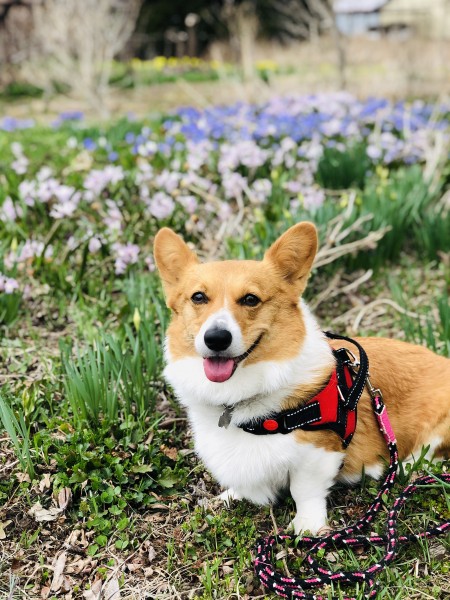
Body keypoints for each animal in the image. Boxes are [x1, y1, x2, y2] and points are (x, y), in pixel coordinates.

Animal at [152, 223, 450, 532]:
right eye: (198, 297)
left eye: (250, 299)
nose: (216, 338)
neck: (244, 395)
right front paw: (230, 496)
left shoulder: (317, 453)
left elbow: (304, 490)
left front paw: (307, 526)